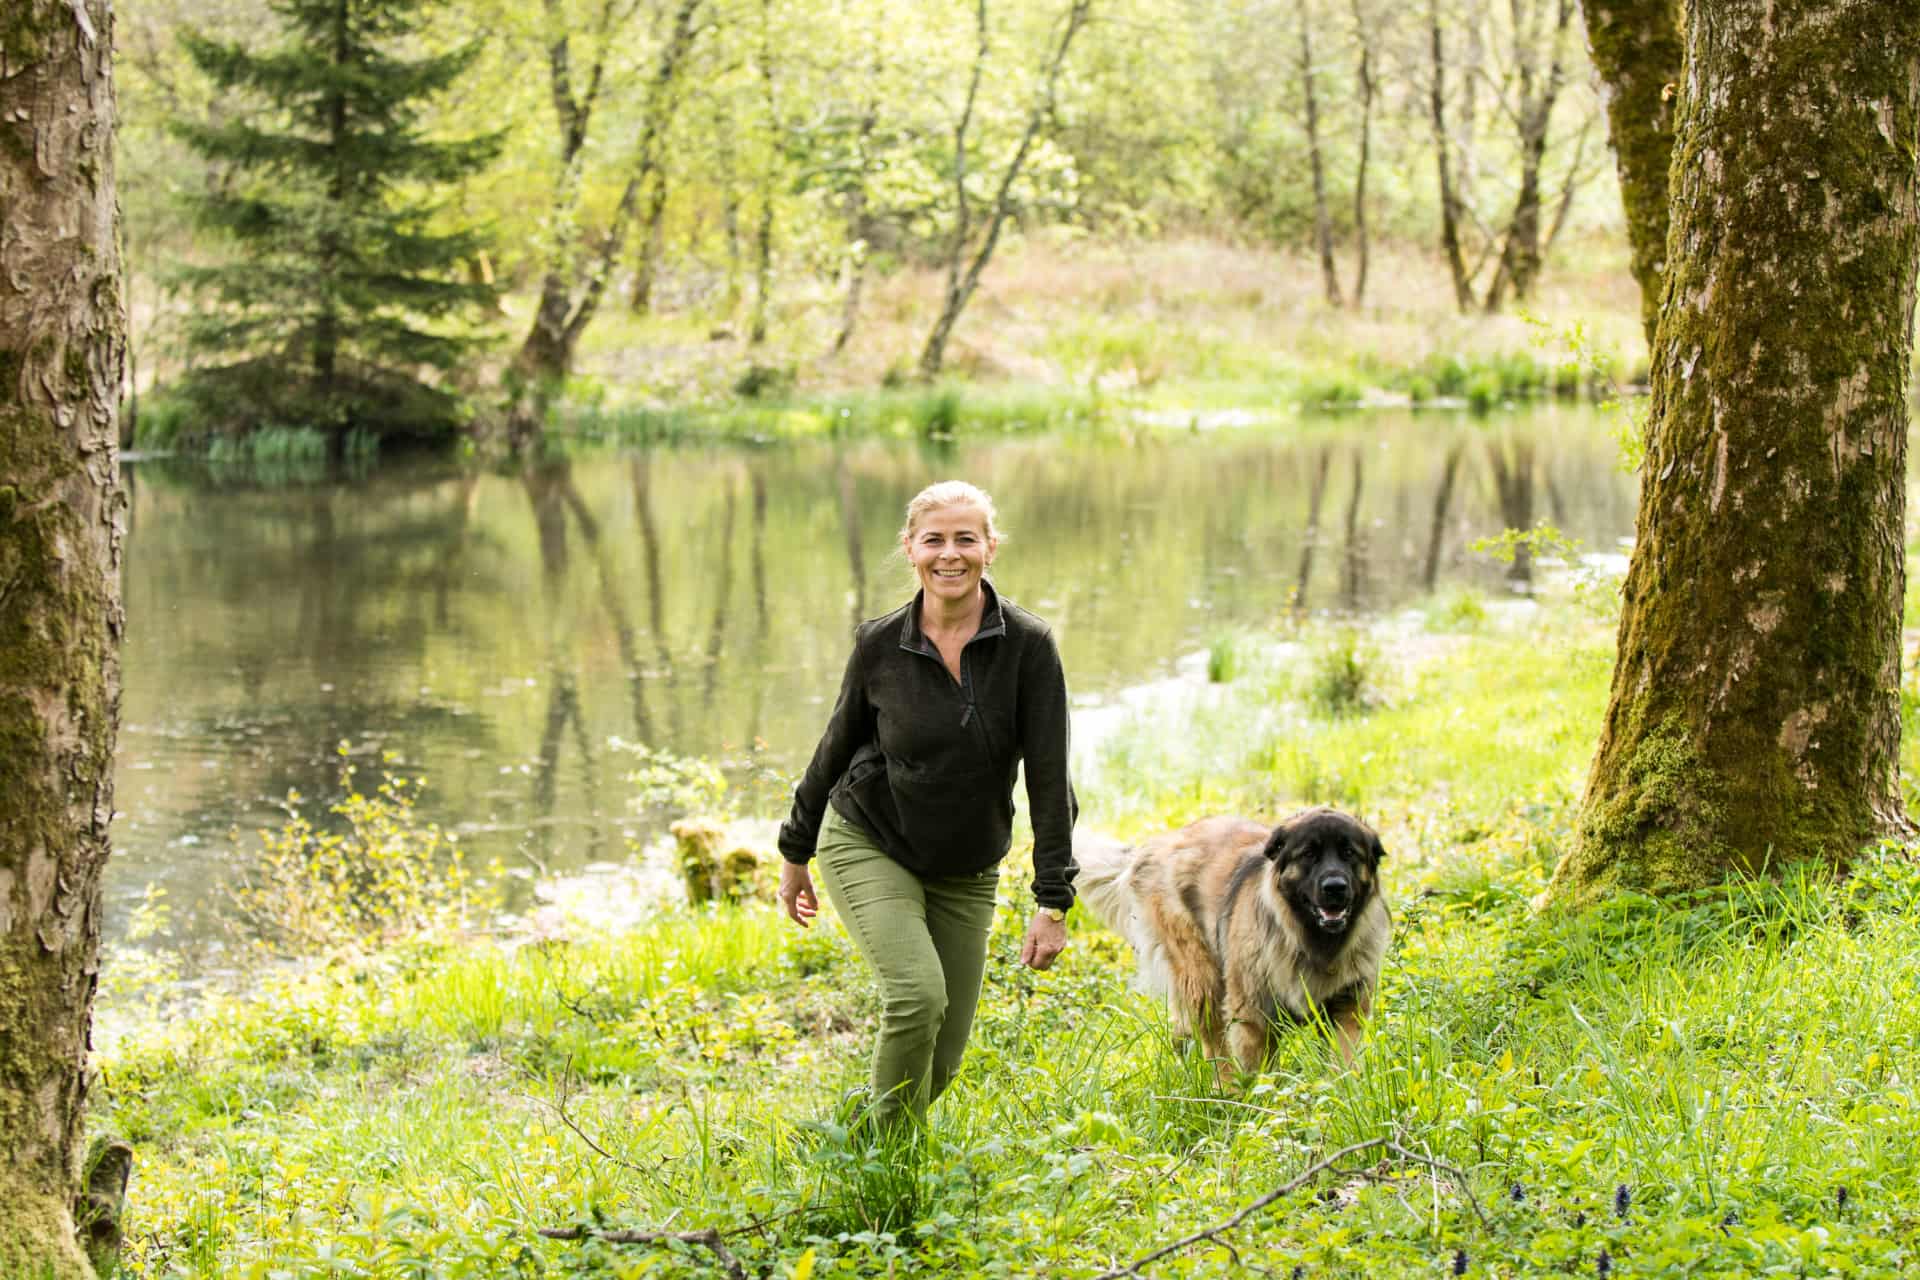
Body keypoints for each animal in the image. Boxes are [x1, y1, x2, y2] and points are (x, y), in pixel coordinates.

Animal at [1075, 809, 1390, 1074]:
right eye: (1309, 854)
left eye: (1349, 853)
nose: (1335, 887)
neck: (1308, 940)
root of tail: (1159, 844)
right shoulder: (1253, 1016)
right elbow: (1259, 1073)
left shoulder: (1347, 1008)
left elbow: (1344, 1060)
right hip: (1202, 977)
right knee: (1216, 1045)